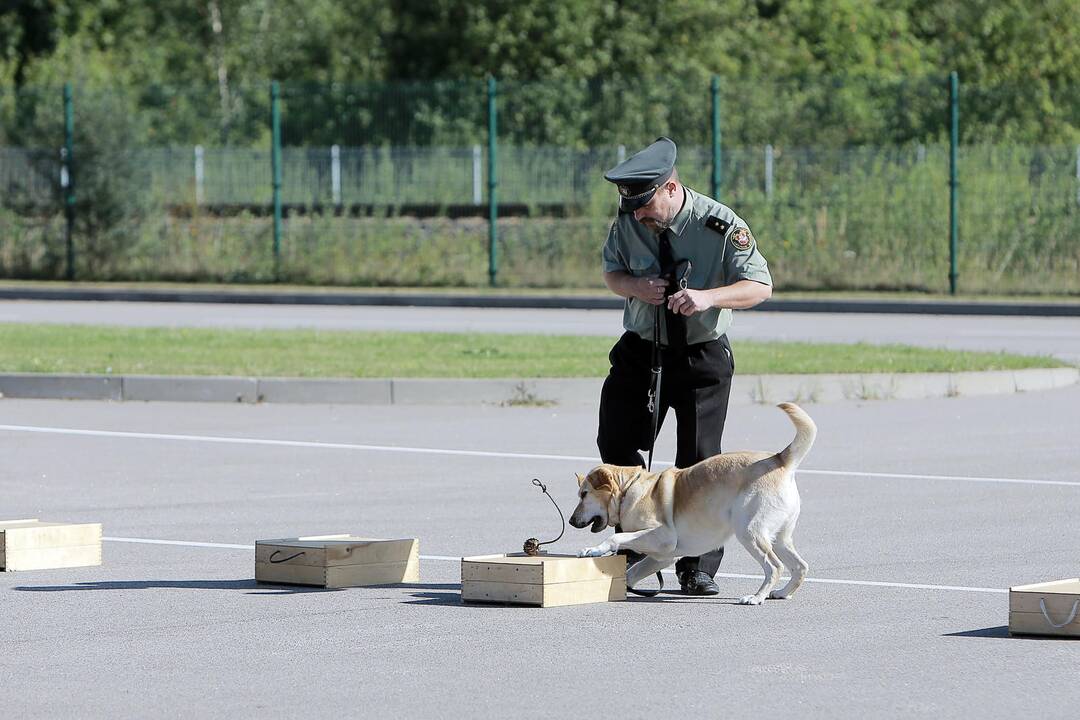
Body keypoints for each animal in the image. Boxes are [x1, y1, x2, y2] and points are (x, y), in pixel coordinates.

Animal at [570, 403, 812, 604]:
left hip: (750, 532)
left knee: (775, 566)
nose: (571, 521)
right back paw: (782, 593)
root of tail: (780, 460)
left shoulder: (662, 536)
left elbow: (616, 537)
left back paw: (756, 597)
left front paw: (594, 549)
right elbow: (633, 571)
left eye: (584, 494)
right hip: (779, 537)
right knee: (800, 566)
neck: (629, 490)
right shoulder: (663, 556)